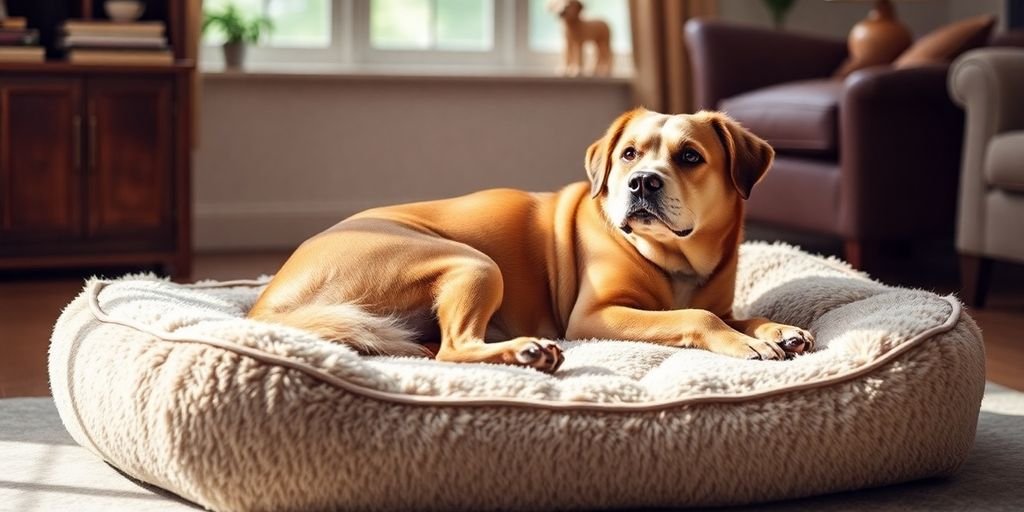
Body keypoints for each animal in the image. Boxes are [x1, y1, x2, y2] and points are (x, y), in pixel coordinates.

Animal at [247, 108, 806, 372]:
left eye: (690, 156)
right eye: (628, 154)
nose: (642, 182)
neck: (676, 259)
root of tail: (265, 306)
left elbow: (733, 311)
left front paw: (776, 329)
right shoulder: (595, 317)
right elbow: (697, 316)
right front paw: (744, 342)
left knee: (435, 347)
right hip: (473, 263)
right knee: (455, 349)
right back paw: (526, 353)